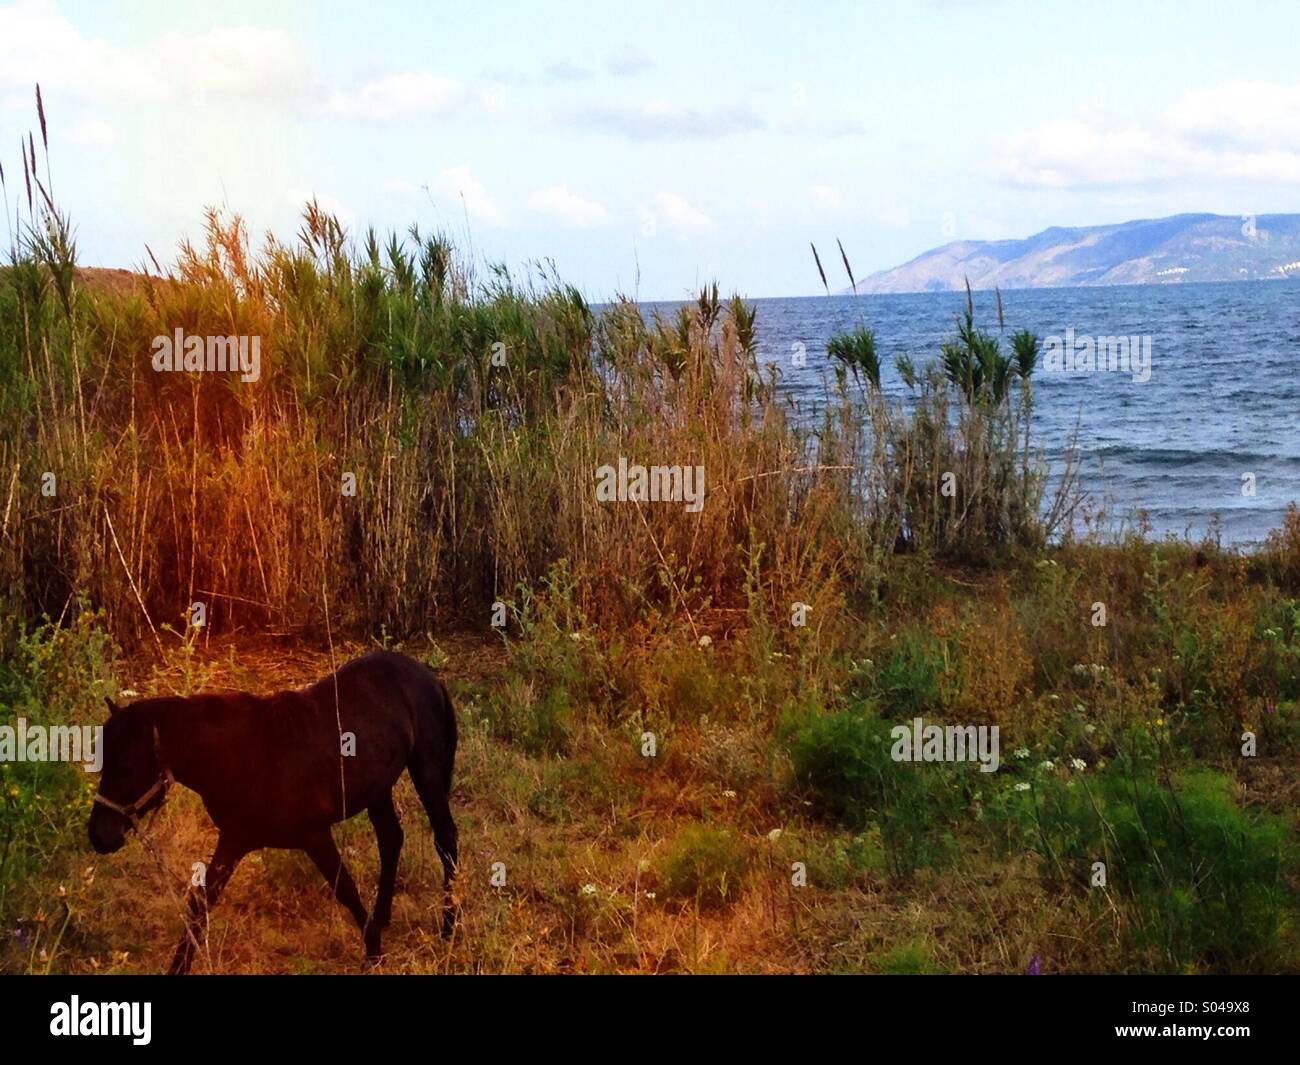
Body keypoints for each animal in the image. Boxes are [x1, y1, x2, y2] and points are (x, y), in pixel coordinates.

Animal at [87, 650, 458, 974]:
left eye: (127, 766)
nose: (99, 835)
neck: (243, 757)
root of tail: (427, 675)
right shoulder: (234, 840)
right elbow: (199, 906)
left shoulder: (315, 835)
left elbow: (345, 889)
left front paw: (373, 951)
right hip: (378, 788)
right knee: (391, 840)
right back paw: (384, 917)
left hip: (425, 771)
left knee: (445, 838)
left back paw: (448, 927)